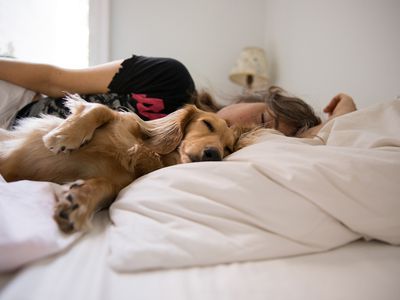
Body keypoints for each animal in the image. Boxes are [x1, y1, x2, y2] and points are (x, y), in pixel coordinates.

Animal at [0, 95, 238, 233]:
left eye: (228, 148)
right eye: (207, 124)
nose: (214, 154)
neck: (146, 151)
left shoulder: (116, 182)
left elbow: (105, 186)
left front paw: (78, 201)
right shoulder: (121, 120)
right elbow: (101, 109)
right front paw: (64, 136)